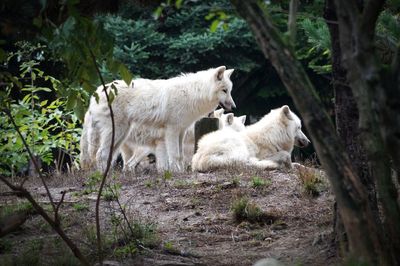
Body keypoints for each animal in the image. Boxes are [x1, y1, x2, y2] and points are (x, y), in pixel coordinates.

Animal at [80, 65, 236, 171]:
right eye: (224, 90)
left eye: (230, 91)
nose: (234, 107)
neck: (193, 93)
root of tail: (95, 93)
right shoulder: (172, 131)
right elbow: (175, 155)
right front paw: (176, 173)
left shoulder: (181, 131)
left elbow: (179, 156)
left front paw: (179, 172)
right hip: (117, 132)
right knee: (101, 154)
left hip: (121, 135)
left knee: (109, 156)